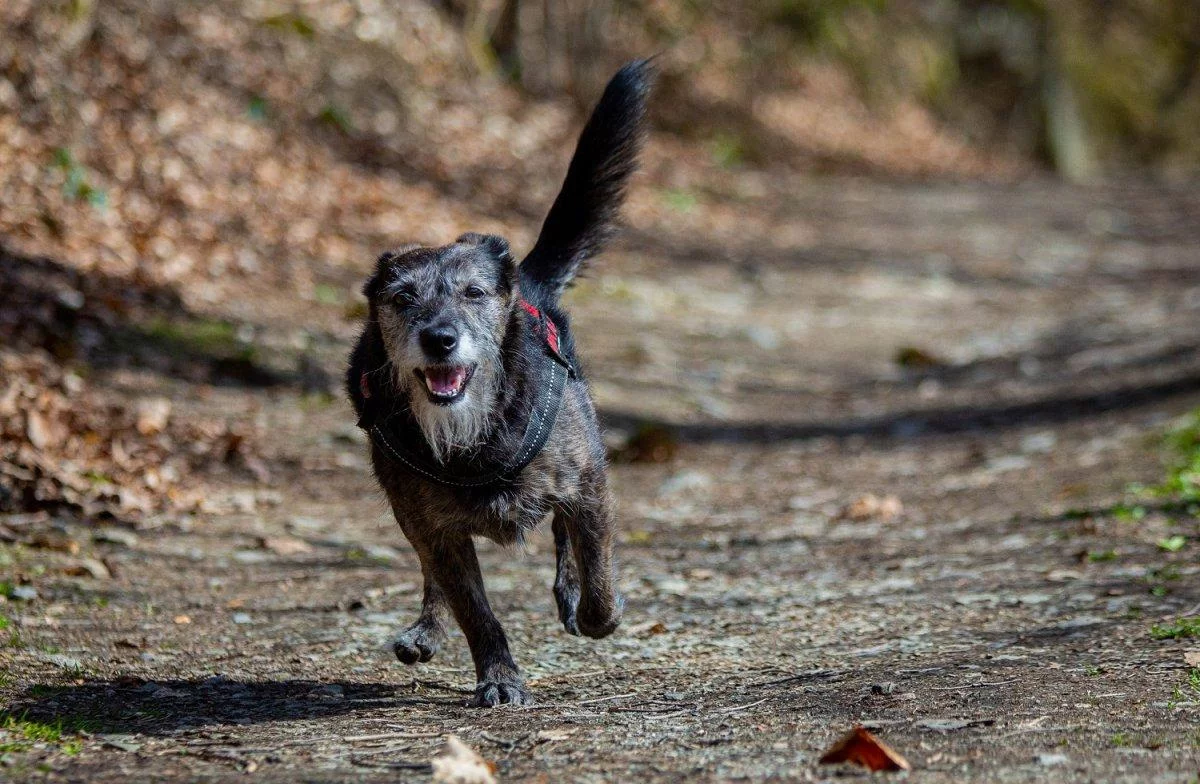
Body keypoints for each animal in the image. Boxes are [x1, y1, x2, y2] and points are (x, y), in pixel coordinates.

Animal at [343, 59, 652, 701]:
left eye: (474, 293)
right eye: (402, 299)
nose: (439, 339)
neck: (474, 432)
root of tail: (528, 278)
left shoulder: (590, 485)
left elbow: (597, 569)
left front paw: (598, 611)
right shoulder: (433, 529)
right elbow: (474, 610)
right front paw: (500, 678)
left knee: (564, 538)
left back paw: (570, 594)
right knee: (432, 577)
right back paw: (425, 629)